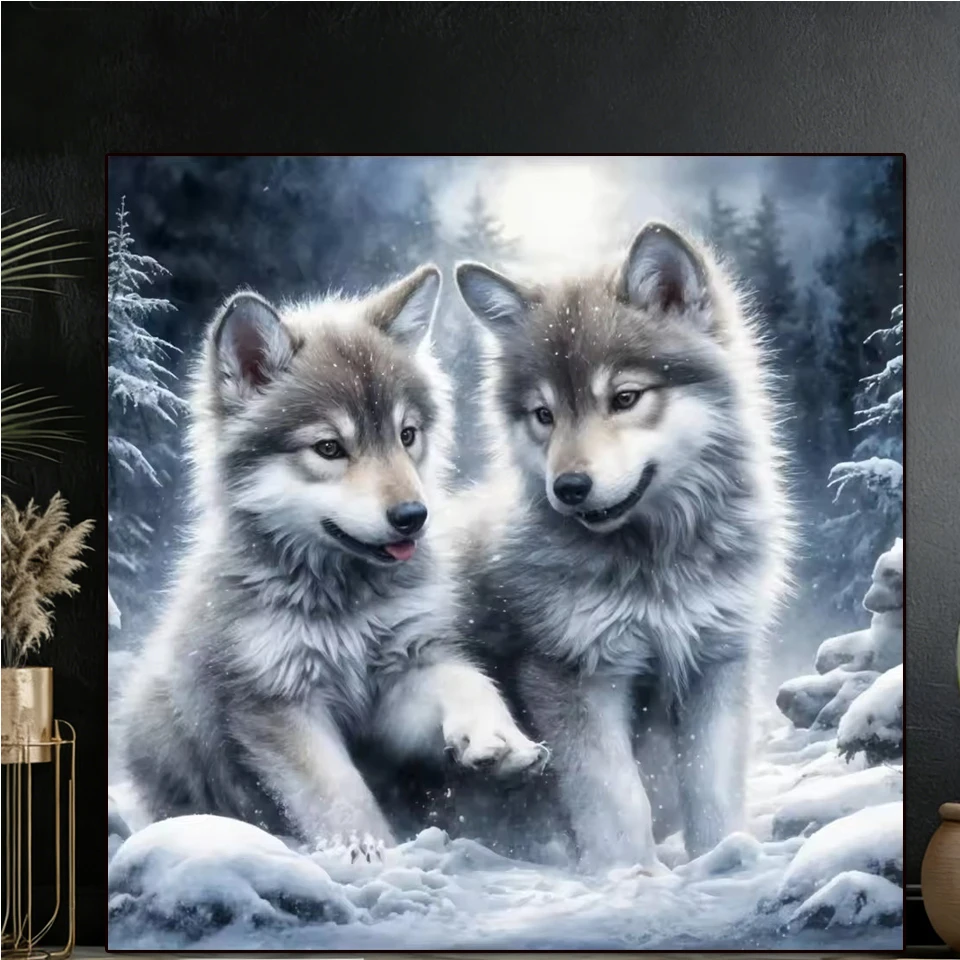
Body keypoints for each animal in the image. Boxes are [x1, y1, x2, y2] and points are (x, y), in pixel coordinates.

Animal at [119, 264, 547, 860]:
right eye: (328, 448)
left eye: (406, 435)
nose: (413, 516)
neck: (344, 600)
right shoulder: (277, 704)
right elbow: (337, 790)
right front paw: (367, 851)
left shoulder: (402, 673)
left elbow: (470, 682)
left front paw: (500, 738)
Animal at [449, 223, 792, 873]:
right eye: (543, 415)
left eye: (626, 398)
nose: (568, 488)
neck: (658, 561)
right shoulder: (574, 675)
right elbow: (616, 797)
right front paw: (629, 875)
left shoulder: (717, 662)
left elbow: (710, 788)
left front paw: (725, 860)